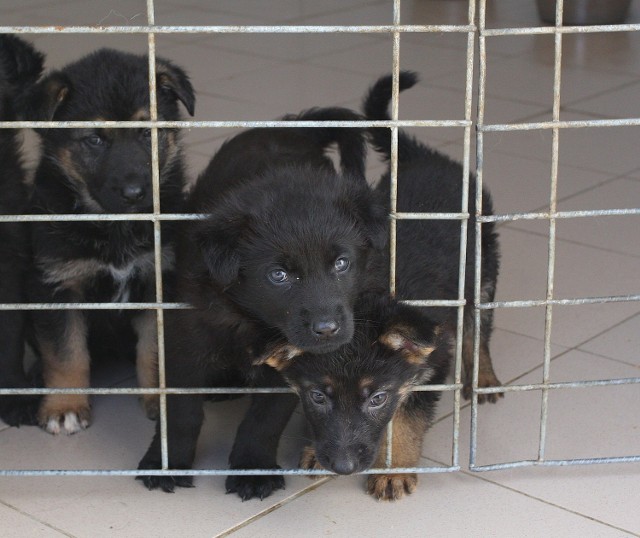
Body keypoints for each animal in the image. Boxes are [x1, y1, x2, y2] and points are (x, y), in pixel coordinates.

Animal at [25, 48, 195, 434]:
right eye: (95, 140)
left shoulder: (158, 280)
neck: (115, 226)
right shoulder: (58, 287)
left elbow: (153, 350)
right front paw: (64, 407)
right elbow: (65, 354)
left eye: (147, 134)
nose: (135, 193)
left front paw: (159, 399)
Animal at [138, 105, 388, 498]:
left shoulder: (291, 368)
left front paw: (252, 468)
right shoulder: (186, 340)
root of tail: (290, 126)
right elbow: (180, 413)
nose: (328, 329)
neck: (256, 321)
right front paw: (166, 463)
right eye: (278, 275)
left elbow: (265, 419)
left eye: (341, 263)